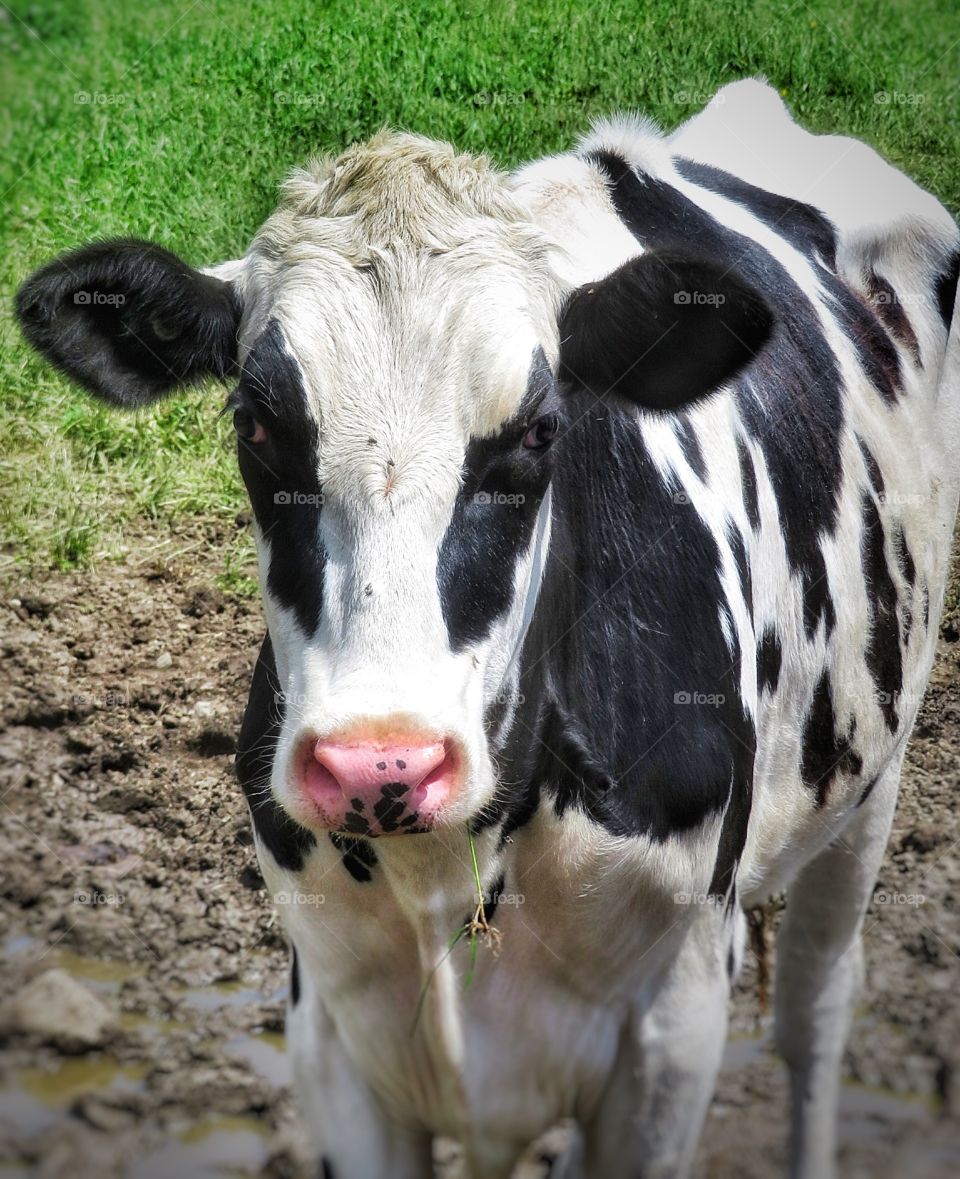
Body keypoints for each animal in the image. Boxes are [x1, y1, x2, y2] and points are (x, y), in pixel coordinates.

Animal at [15, 80, 960, 1179]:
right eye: (254, 424)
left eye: (541, 431)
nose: (381, 765)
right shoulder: (332, 1031)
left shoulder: (672, 1027)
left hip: (875, 777)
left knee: (818, 1010)